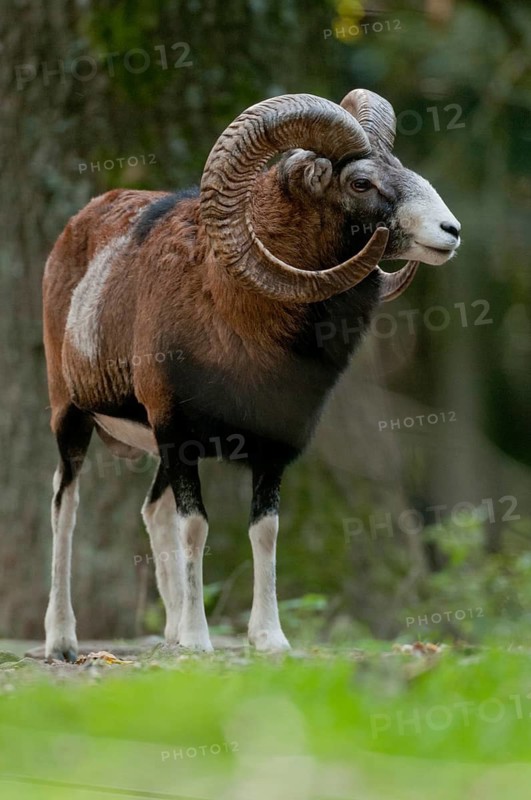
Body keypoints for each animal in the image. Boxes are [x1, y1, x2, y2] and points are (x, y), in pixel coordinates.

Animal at [42, 89, 460, 659]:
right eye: (360, 182)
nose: (450, 232)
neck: (231, 314)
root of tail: (76, 228)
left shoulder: (271, 451)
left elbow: (264, 531)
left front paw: (268, 639)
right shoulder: (179, 437)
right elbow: (195, 528)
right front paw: (199, 643)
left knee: (153, 514)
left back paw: (169, 632)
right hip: (72, 418)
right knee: (66, 505)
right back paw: (63, 642)